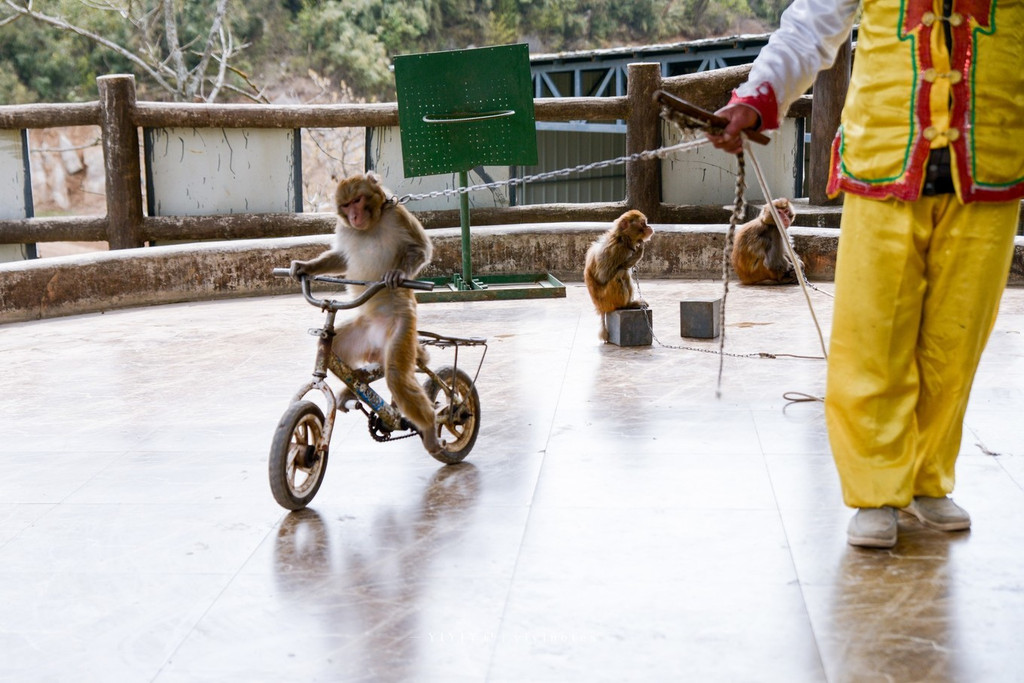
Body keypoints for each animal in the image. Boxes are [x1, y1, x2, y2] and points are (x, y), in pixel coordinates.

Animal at [585, 209, 655, 342]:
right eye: (642, 223)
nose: (649, 227)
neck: (622, 238)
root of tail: (601, 307)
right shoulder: (615, 249)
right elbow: (603, 276)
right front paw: (637, 255)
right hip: (608, 300)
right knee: (620, 274)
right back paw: (626, 305)